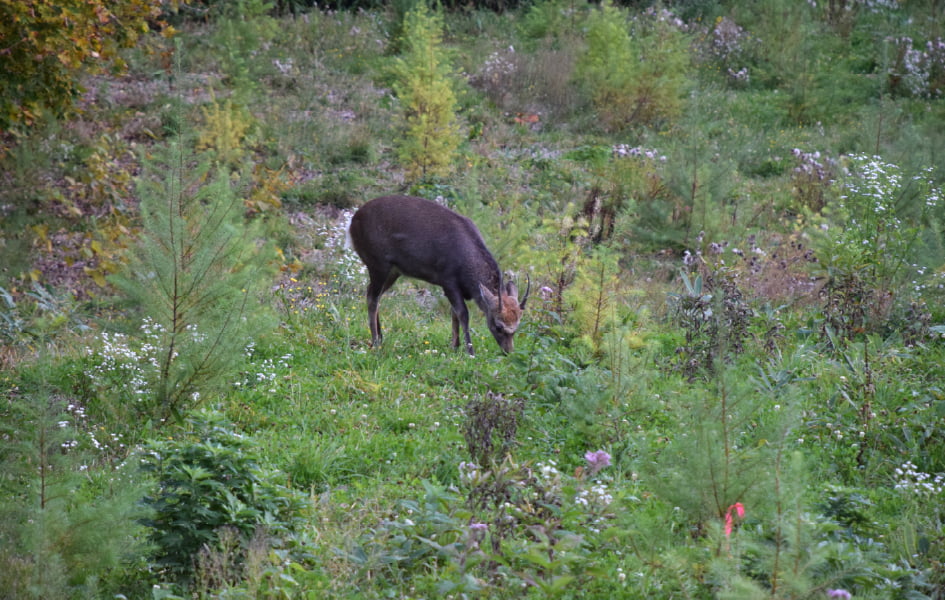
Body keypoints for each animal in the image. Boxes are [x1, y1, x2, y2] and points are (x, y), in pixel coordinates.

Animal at [346, 195, 528, 354]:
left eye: (517, 326)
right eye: (498, 326)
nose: (508, 351)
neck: (467, 273)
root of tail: (352, 223)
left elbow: (454, 314)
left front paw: (455, 347)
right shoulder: (447, 279)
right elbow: (463, 314)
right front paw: (469, 351)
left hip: (393, 271)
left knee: (374, 294)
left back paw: (381, 336)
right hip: (377, 262)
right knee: (372, 297)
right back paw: (376, 342)